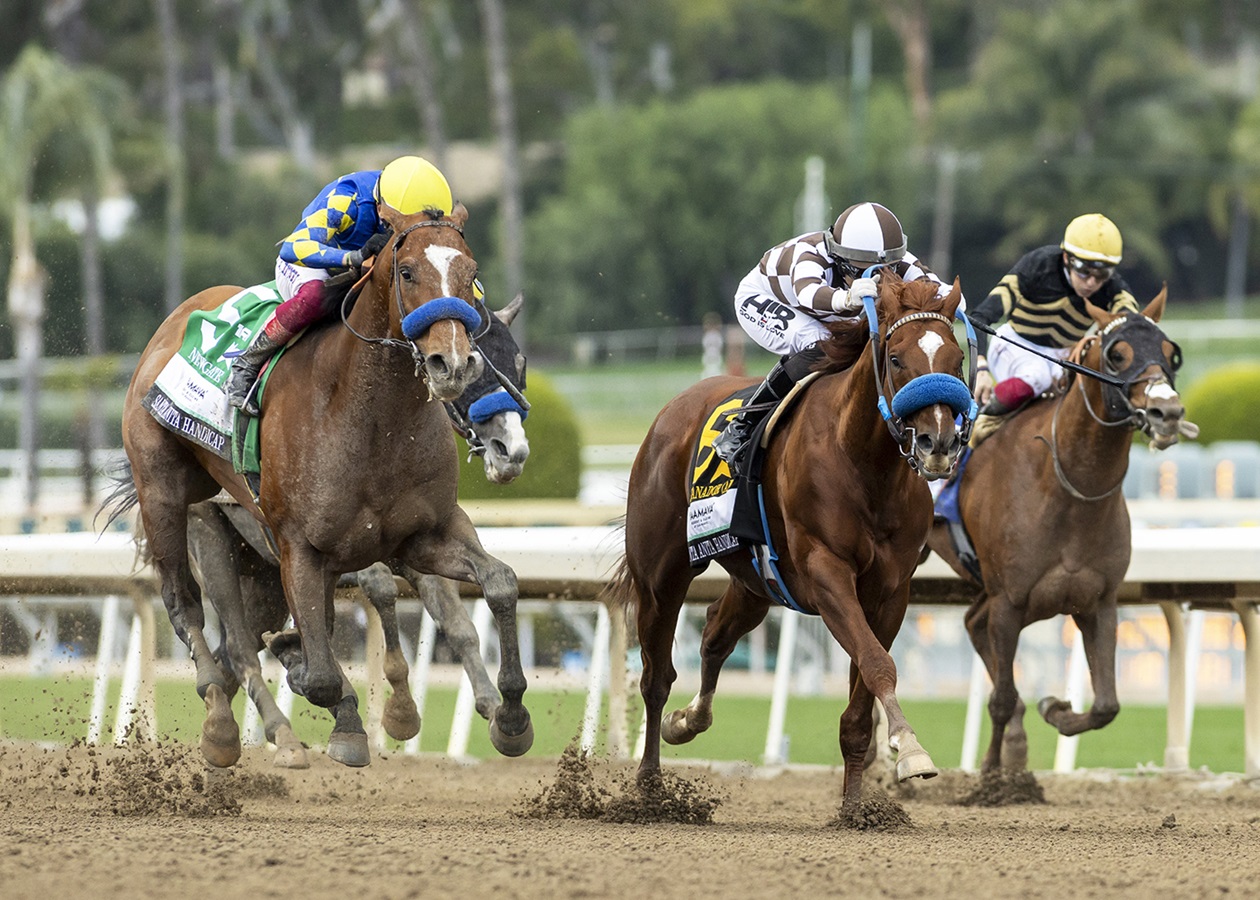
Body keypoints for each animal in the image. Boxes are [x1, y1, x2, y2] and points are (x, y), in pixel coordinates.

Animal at [112, 205, 531, 766]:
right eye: (407, 272)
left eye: (518, 364)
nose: (512, 450)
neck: (372, 419)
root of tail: (172, 323)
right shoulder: (306, 549)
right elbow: (328, 666)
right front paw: (379, 715)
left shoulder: (422, 535)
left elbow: (494, 587)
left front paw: (506, 713)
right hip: (183, 510)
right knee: (203, 620)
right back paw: (233, 728)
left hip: (260, 571)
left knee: (243, 645)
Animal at [609, 273, 972, 811]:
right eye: (896, 358)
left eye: (955, 359)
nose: (939, 443)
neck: (864, 463)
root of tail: (672, 409)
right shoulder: (826, 574)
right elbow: (878, 664)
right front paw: (911, 750)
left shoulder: (890, 591)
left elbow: (861, 700)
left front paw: (856, 808)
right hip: (661, 575)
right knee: (656, 677)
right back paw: (651, 785)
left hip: (757, 581)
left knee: (715, 632)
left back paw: (688, 719)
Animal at [922, 288, 1184, 771]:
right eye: (1117, 354)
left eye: (1169, 351)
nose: (1167, 411)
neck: (1070, 490)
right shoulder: (1009, 601)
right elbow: (1001, 698)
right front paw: (992, 771)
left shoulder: (1098, 601)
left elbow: (1106, 706)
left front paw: (1055, 709)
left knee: (972, 623)